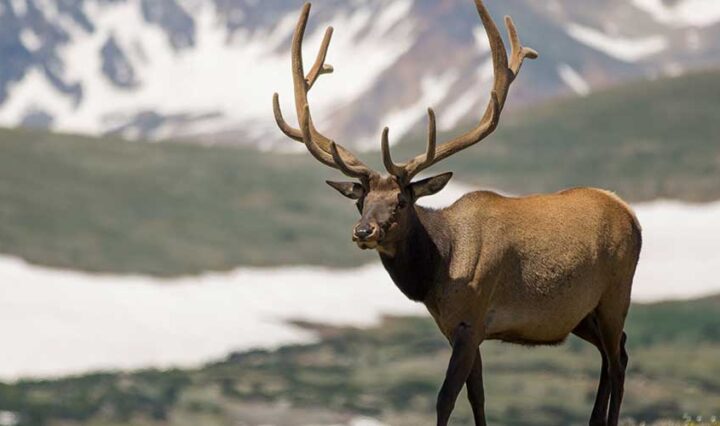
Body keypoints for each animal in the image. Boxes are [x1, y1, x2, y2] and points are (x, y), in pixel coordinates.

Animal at [272, 1, 642, 425]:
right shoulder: (456, 328)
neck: (438, 271)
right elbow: (477, 395)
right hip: (581, 314)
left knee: (618, 359)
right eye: (360, 201)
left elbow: (445, 397)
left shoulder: (472, 318)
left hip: (616, 293)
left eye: (401, 201)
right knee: (613, 354)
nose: (363, 232)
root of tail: (630, 213)